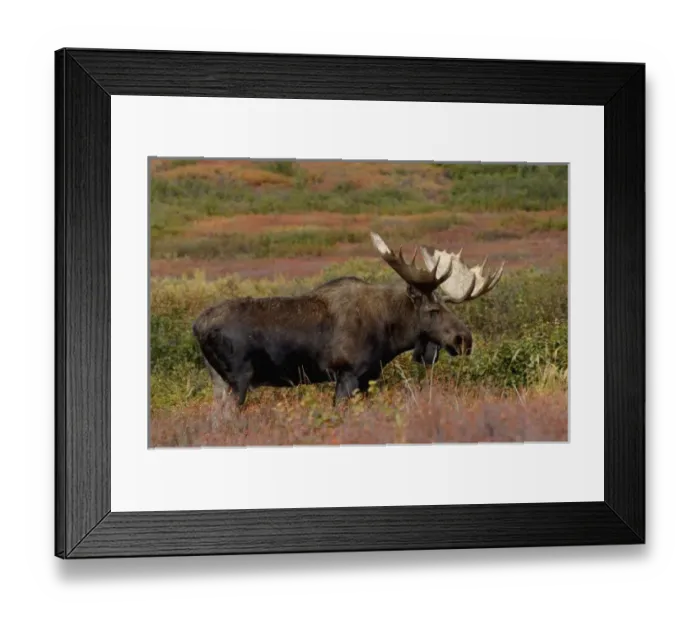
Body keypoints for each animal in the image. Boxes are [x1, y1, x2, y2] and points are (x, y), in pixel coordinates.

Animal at [192, 232, 504, 427]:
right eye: (433, 310)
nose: (464, 339)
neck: (389, 332)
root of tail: (197, 326)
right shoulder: (347, 373)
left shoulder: (367, 378)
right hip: (238, 379)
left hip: (218, 380)